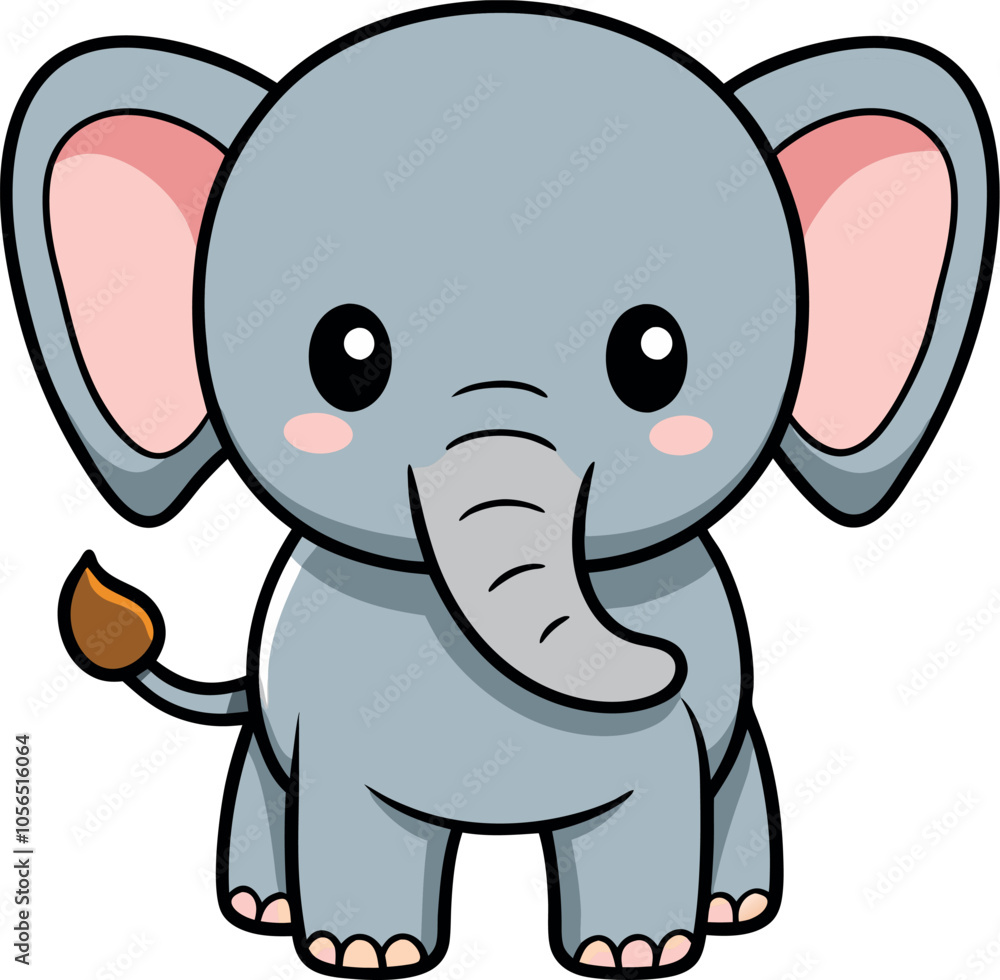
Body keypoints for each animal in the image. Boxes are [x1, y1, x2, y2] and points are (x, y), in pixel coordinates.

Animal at [4, 2, 997, 976]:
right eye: (346, 355)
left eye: (654, 357)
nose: (664, 663)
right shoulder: (334, 720)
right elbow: (351, 808)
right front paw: (362, 953)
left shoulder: (667, 738)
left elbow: (653, 799)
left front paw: (636, 954)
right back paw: (260, 909)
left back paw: (738, 910)